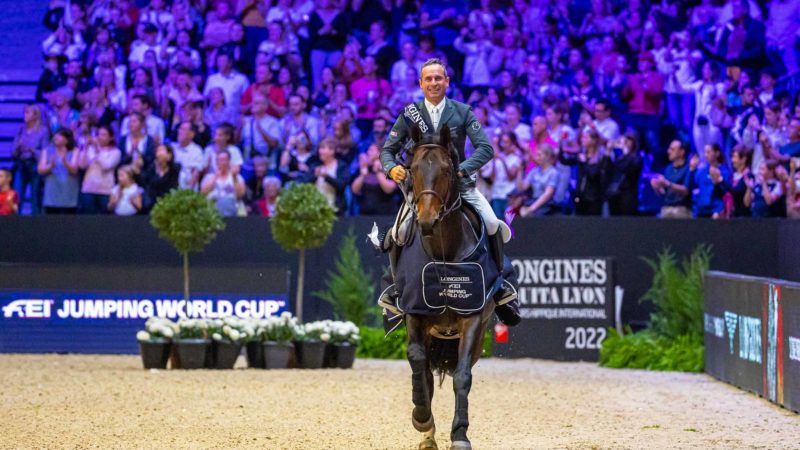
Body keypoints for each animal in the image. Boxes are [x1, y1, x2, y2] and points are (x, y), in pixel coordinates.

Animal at [406, 124, 494, 450]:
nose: (428, 220)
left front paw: (460, 435)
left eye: (446, 169)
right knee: (425, 373)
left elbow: (462, 376)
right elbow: (418, 363)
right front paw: (422, 418)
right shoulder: (414, 314)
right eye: (412, 168)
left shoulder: (473, 320)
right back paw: (427, 434)